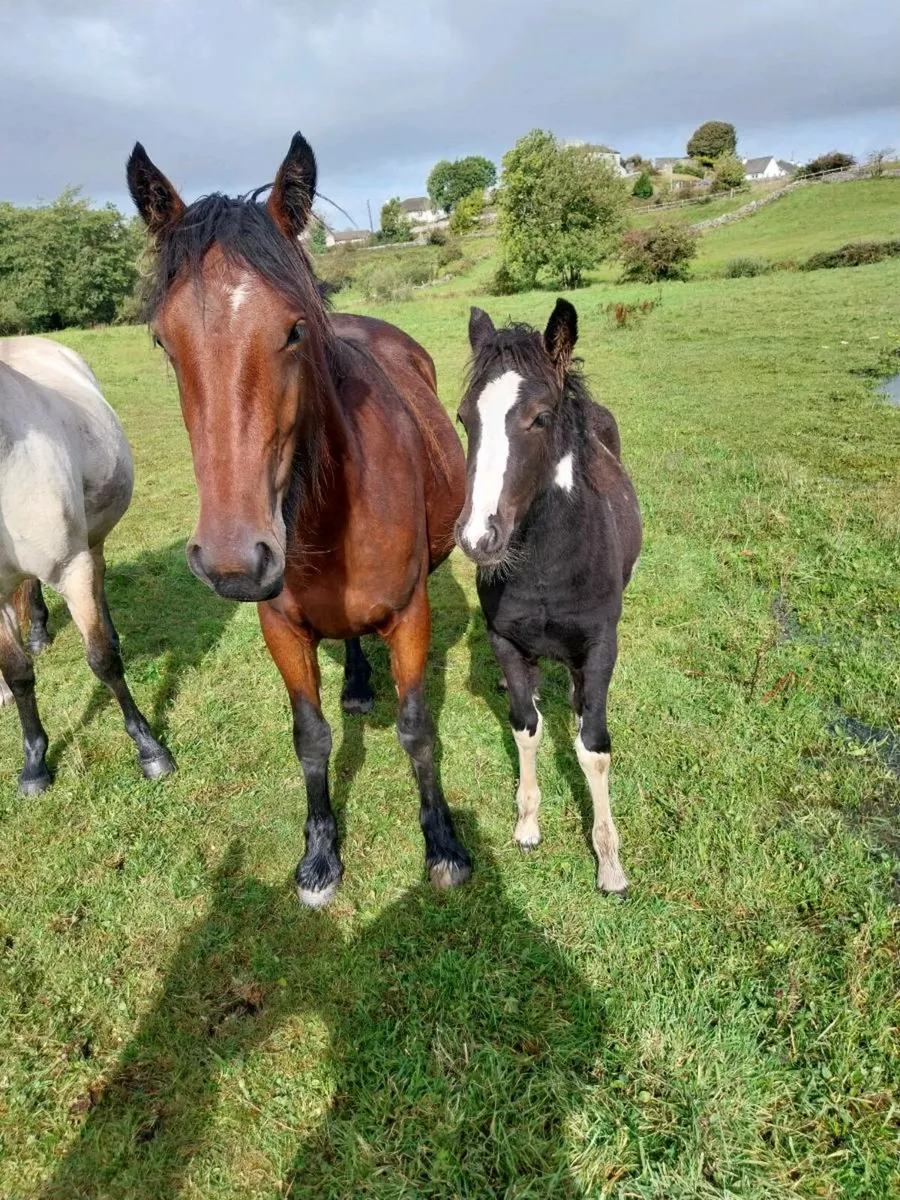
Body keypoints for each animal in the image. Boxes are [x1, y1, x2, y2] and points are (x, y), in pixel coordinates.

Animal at [0, 336, 176, 792]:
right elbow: (18, 674)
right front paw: (34, 764)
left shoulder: (70, 567)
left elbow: (101, 661)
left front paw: (150, 748)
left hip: (92, 539)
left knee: (99, 583)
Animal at [126, 131, 471, 906]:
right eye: (163, 343)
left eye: (293, 330)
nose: (232, 561)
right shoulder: (280, 627)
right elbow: (309, 738)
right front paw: (319, 854)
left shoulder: (411, 614)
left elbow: (418, 731)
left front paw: (441, 842)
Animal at [455, 301, 641, 894]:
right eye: (464, 419)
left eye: (538, 417)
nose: (478, 538)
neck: (546, 570)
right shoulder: (508, 644)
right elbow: (525, 726)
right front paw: (528, 824)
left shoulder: (600, 646)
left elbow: (594, 747)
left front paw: (609, 862)